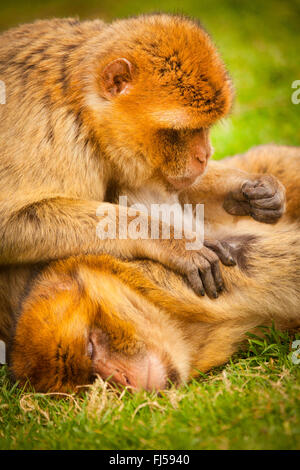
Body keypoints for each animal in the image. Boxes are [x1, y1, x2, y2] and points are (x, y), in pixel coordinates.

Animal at [0, 17, 284, 302]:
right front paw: (174, 240)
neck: (82, 109)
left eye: (206, 126)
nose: (205, 155)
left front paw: (252, 188)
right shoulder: (52, 134)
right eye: (181, 131)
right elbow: (11, 224)